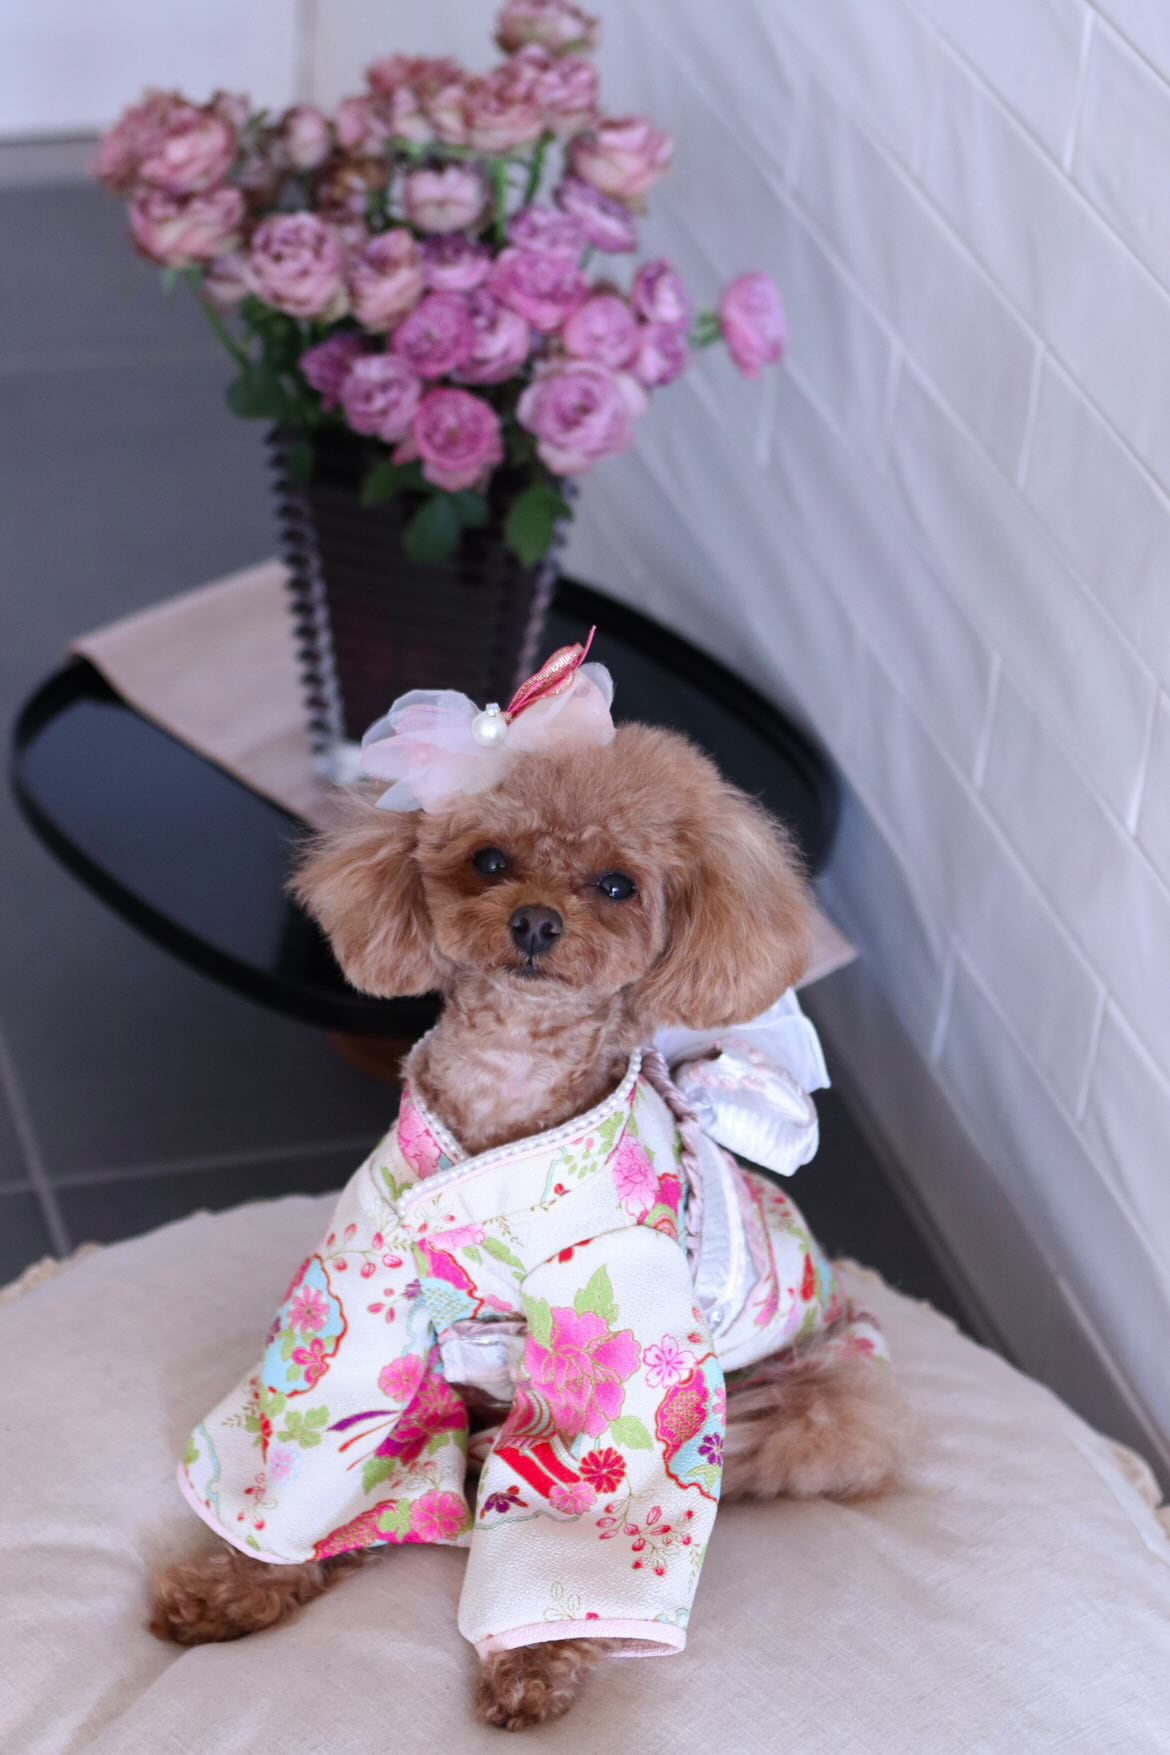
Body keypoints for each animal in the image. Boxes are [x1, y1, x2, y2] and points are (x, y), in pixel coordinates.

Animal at [152, 661, 903, 1732]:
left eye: (618, 883)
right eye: (490, 860)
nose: (538, 922)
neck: (511, 1087)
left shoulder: (621, 1316)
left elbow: (577, 1509)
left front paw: (535, 1665)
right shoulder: (363, 1293)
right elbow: (321, 1461)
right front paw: (234, 1585)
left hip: (814, 1406)